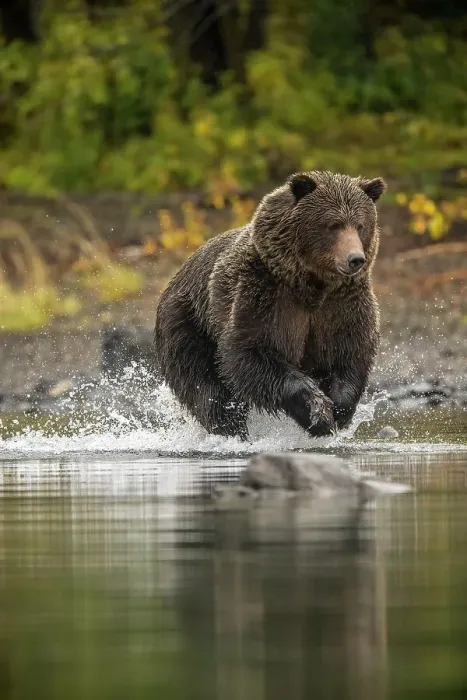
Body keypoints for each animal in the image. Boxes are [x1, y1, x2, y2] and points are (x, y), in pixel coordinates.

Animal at [154, 171, 386, 440]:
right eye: (333, 224)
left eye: (360, 224)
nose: (355, 259)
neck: (311, 284)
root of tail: (176, 277)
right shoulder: (265, 293)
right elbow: (250, 351)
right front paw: (316, 408)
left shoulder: (343, 303)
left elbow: (349, 352)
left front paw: (337, 410)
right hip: (187, 323)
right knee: (206, 388)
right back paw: (231, 430)